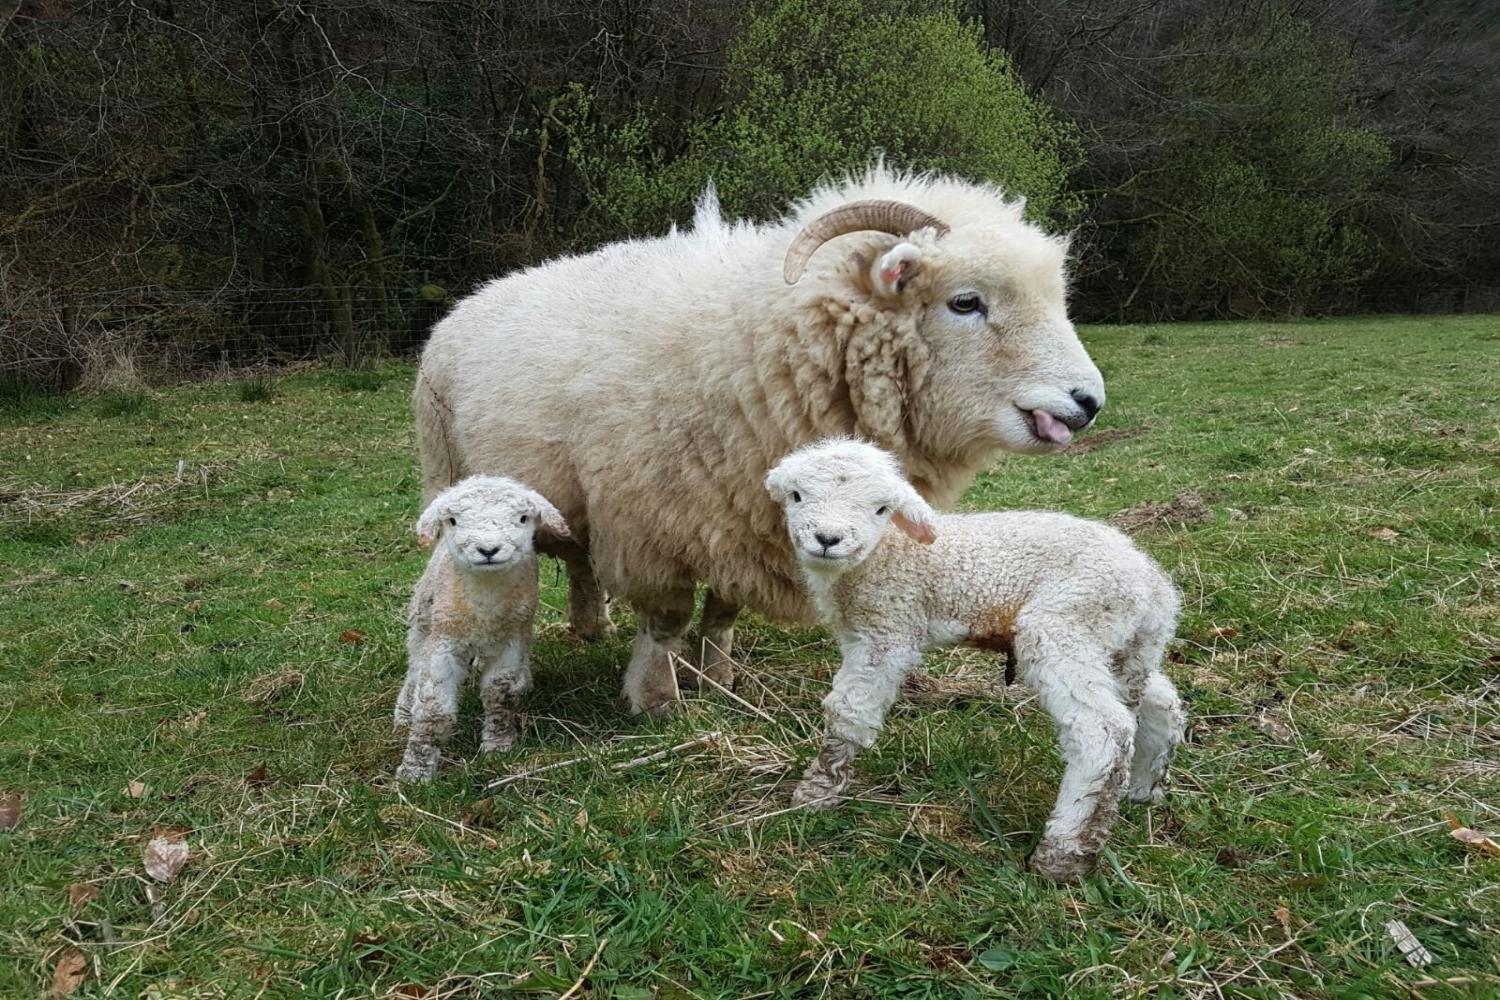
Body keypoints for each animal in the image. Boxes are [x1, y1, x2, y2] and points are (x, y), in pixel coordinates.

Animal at [393, 473, 567, 785]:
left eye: (523, 518)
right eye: (452, 520)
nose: (488, 550)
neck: (484, 604)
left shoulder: (510, 643)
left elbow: (500, 695)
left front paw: (498, 746)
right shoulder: (443, 643)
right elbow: (433, 711)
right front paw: (415, 772)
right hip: (424, 616)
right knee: (414, 662)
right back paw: (403, 713)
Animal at [417, 170, 1110, 719]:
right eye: (965, 302)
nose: (1088, 403)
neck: (764, 349)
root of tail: (476, 296)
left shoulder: (744, 519)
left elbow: (723, 610)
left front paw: (719, 678)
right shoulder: (653, 522)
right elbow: (667, 620)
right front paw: (656, 700)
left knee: (581, 558)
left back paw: (593, 627)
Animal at [768, 440, 1188, 881]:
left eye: (881, 509)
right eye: (796, 496)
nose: (827, 538)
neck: (886, 552)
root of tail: (1152, 586)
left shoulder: (889, 629)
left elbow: (849, 712)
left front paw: (817, 792)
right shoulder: (855, 634)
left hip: (1066, 623)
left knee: (1103, 731)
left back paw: (1063, 854)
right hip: (1125, 648)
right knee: (1159, 702)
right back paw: (1144, 789)